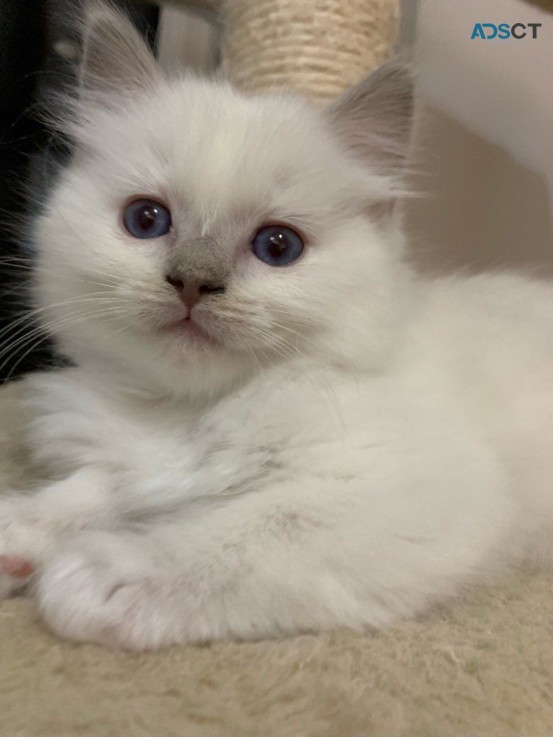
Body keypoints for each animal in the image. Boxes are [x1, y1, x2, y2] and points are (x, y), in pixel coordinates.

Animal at [1, 4, 552, 648]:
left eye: (278, 247)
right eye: (146, 219)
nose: (193, 283)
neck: (189, 410)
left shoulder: (415, 484)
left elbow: (250, 530)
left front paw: (105, 572)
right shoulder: (136, 465)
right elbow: (91, 490)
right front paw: (20, 528)